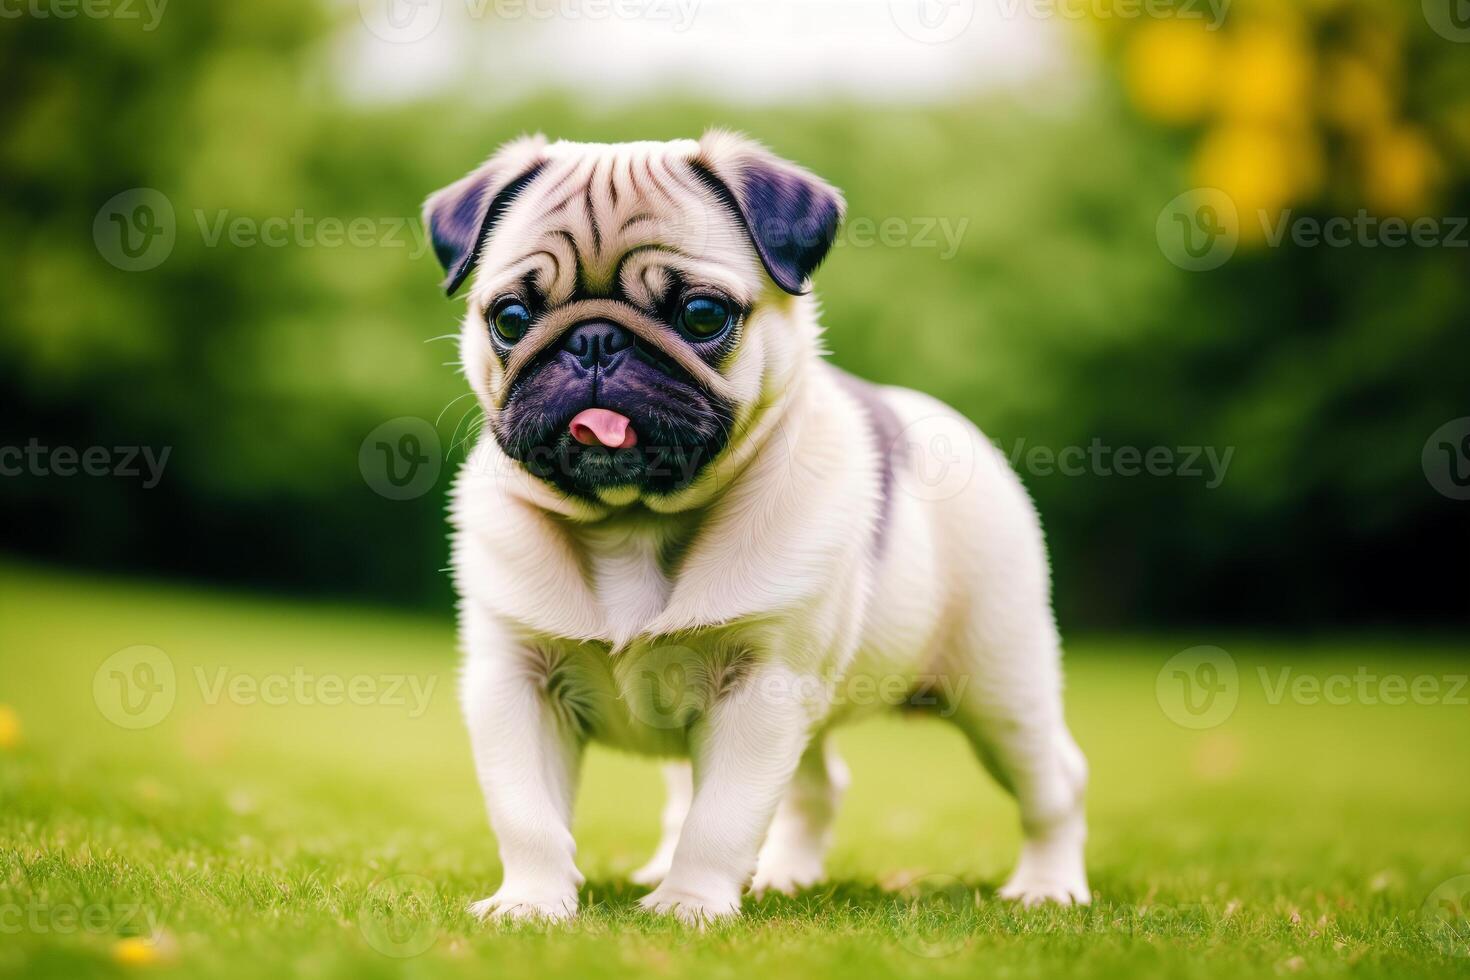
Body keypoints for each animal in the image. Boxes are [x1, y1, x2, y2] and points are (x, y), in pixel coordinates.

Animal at [426, 132, 1093, 928]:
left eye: (701, 314)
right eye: (511, 318)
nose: (593, 341)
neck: (632, 522)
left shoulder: (763, 688)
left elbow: (721, 818)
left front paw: (687, 905)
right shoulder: (516, 682)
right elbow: (527, 814)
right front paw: (531, 903)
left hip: (999, 685)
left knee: (1052, 784)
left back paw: (1049, 887)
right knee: (812, 787)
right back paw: (782, 876)